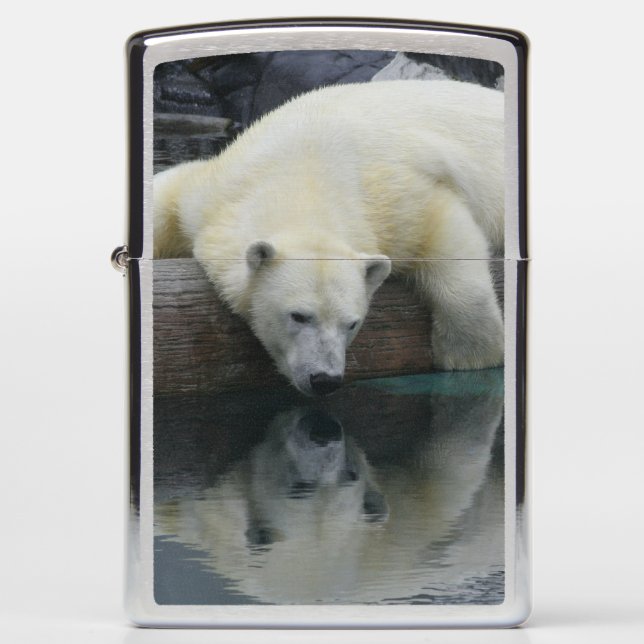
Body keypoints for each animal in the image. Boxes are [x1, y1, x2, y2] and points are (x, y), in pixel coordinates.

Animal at [154, 79, 504, 396]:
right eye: (298, 316)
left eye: (352, 323)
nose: (324, 379)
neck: (306, 170)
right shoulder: (215, 191)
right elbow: (166, 196)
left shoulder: (397, 199)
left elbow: (444, 224)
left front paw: (467, 354)